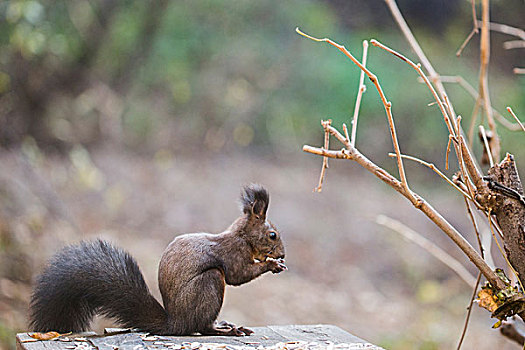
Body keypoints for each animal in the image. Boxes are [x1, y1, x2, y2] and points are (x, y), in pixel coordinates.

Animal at [27, 185, 286, 334]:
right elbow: (237, 275)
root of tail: (176, 323)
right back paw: (222, 330)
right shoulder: (234, 253)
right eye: (272, 235)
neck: (242, 236)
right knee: (201, 327)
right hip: (209, 284)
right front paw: (272, 264)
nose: (282, 254)